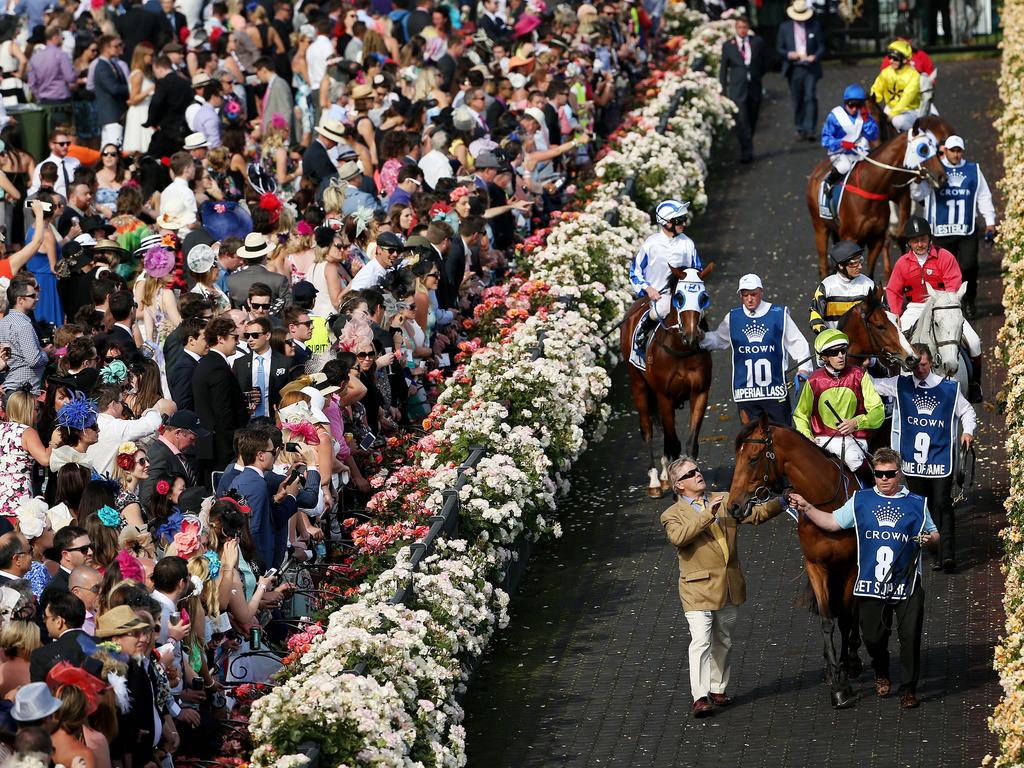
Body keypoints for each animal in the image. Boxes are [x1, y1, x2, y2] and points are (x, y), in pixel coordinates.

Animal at [614, 270, 712, 499]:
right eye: (679, 297)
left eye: (703, 297)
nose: (691, 336)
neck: (681, 350)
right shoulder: (663, 396)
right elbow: (673, 443)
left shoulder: (700, 392)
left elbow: (690, 443)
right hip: (639, 386)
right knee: (648, 429)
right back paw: (655, 482)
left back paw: (667, 476)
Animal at [729, 417, 864, 712]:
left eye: (753, 458)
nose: (733, 506)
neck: (828, 505)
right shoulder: (816, 565)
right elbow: (827, 619)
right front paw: (836, 683)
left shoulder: (851, 565)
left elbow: (846, 615)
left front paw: (846, 669)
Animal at [806, 115, 950, 278]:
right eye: (923, 149)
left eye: (935, 147)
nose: (942, 177)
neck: (868, 188)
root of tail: (816, 172)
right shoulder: (849, 237)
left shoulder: (876, 238)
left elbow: (869, 273)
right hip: (820, 228)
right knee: (823, 265)